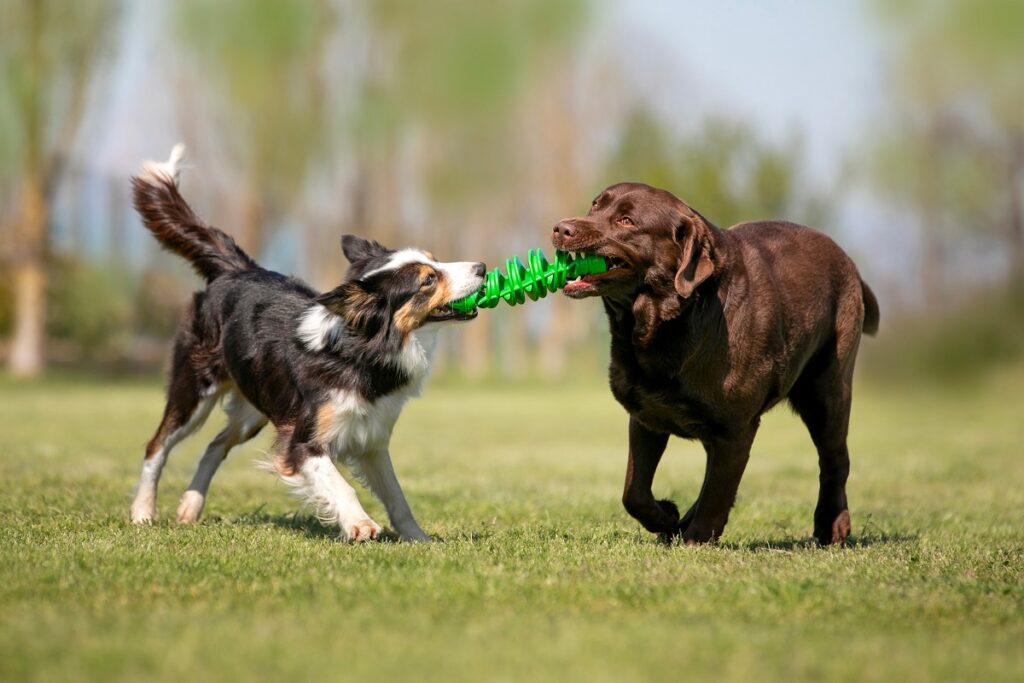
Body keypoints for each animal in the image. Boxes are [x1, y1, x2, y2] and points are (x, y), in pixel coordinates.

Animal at [126, 147, 483, 540]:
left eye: (435, 260)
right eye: (428, 280)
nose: (482, 267)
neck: (360, 351)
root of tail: (237, 269)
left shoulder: (372, 439)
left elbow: (397, 495)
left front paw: (418, 538)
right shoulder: (302, 441)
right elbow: (340, 484)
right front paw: (359, 524)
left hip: (254, 408)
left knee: (215, 444)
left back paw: (190, 507)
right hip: (194, 390)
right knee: (156, 446)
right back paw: (143, 513)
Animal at [552, 184, 880, 548]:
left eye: (627, 221)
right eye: (595, 207)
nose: (561, 228)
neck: (671, 322)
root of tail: (851, 263)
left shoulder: (737, 428)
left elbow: (718, 490)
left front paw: (696, 537)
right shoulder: (647, 417)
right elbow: (634, 491)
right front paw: (667, 516)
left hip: (827, 391)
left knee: (834, 458)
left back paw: (832, 525)